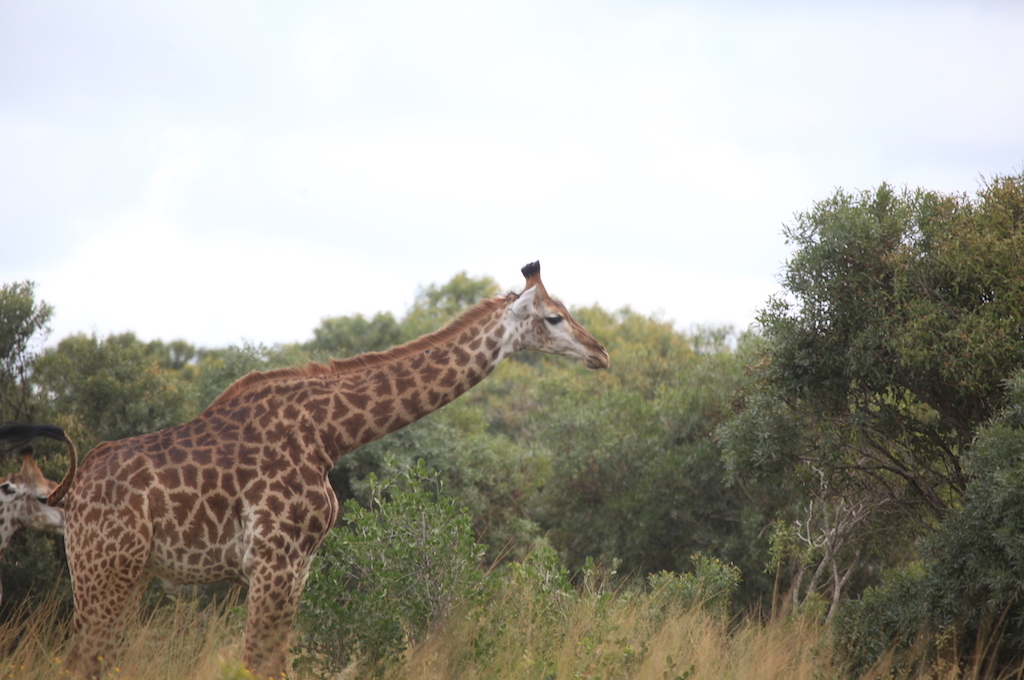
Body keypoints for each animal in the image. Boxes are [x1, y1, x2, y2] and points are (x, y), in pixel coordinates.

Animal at [32, 259, 606, 675]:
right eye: (554, 317)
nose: (600, 352)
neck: (331, 433)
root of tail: (72, 492)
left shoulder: (299, 564)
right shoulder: (273, 559)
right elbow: (260, 664)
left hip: (123, 573)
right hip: (107, 567)